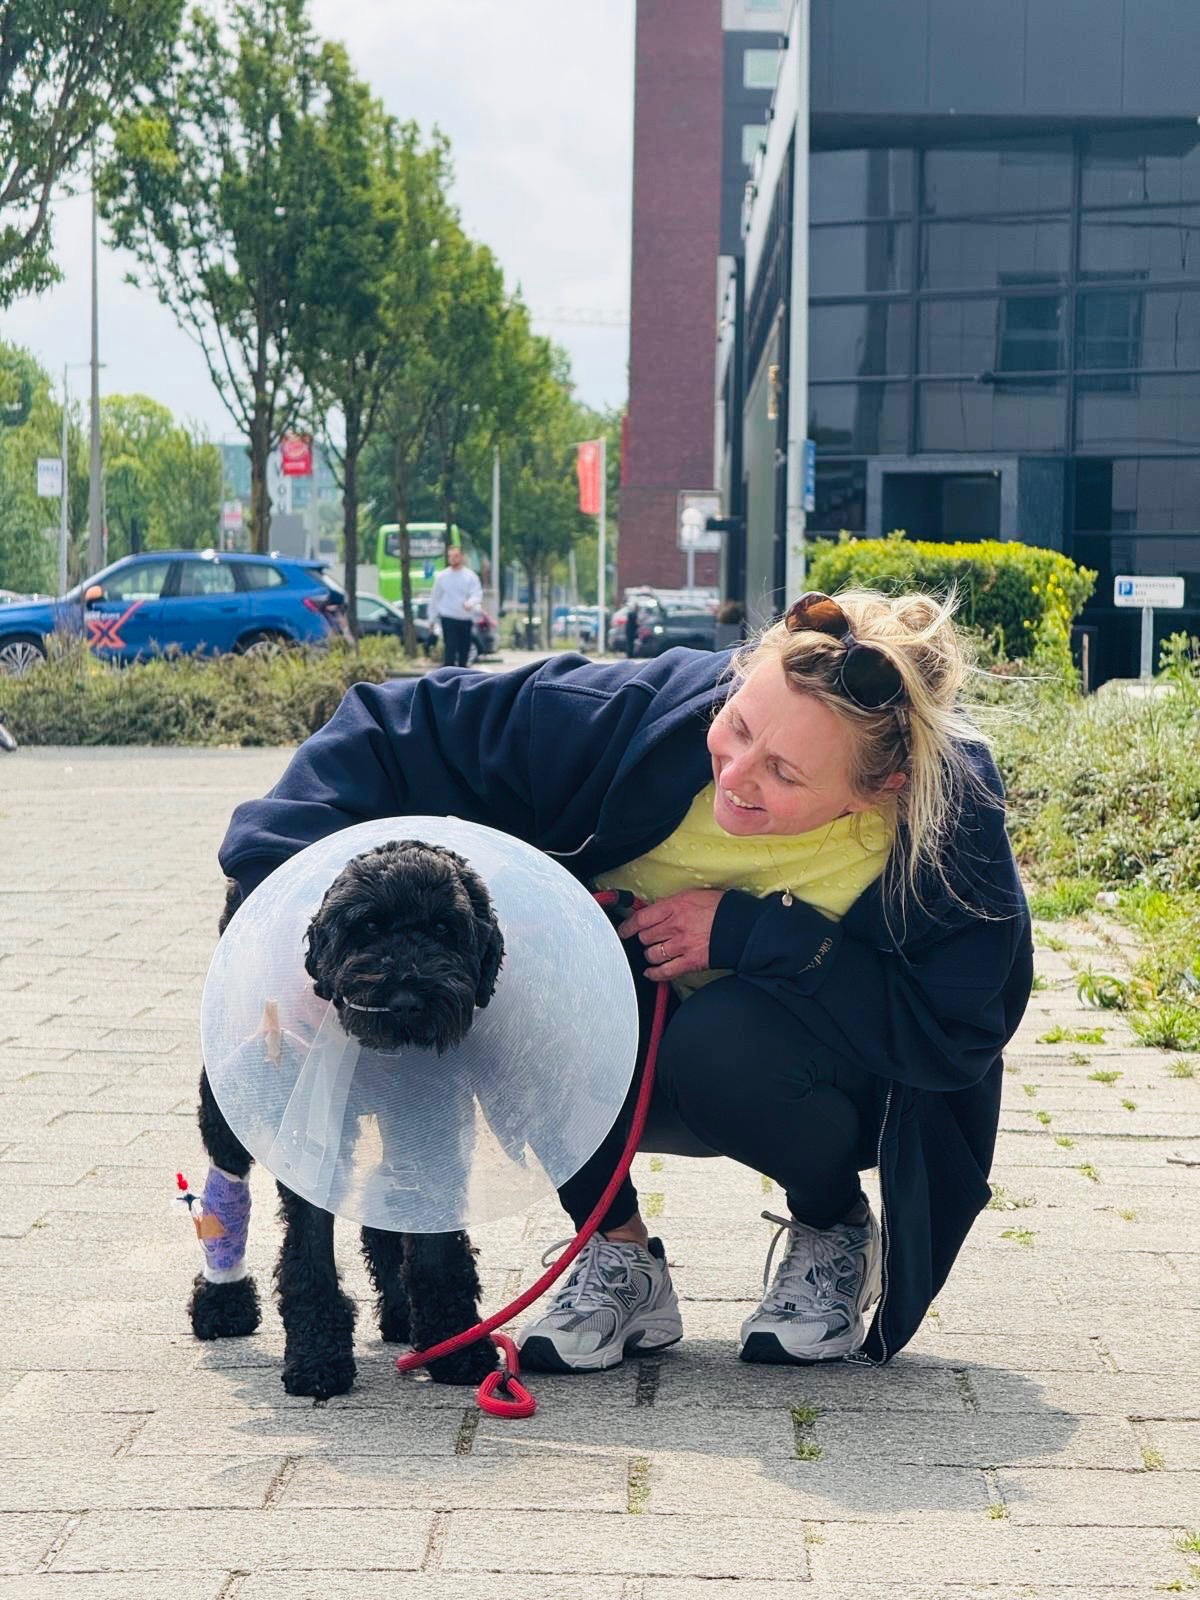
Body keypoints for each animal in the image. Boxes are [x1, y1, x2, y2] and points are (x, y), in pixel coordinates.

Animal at [190, 839, 505, 1397]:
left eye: (445, 928)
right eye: (368, 927)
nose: (405, 999)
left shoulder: (434, 1131)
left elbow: (438, 1252)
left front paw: (456, 1345)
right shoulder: (312, 1140)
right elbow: (310, 1254)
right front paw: (317, 1356)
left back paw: (402, 1313)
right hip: (226, 1096)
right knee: (226, 1177)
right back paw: (222, 1301)